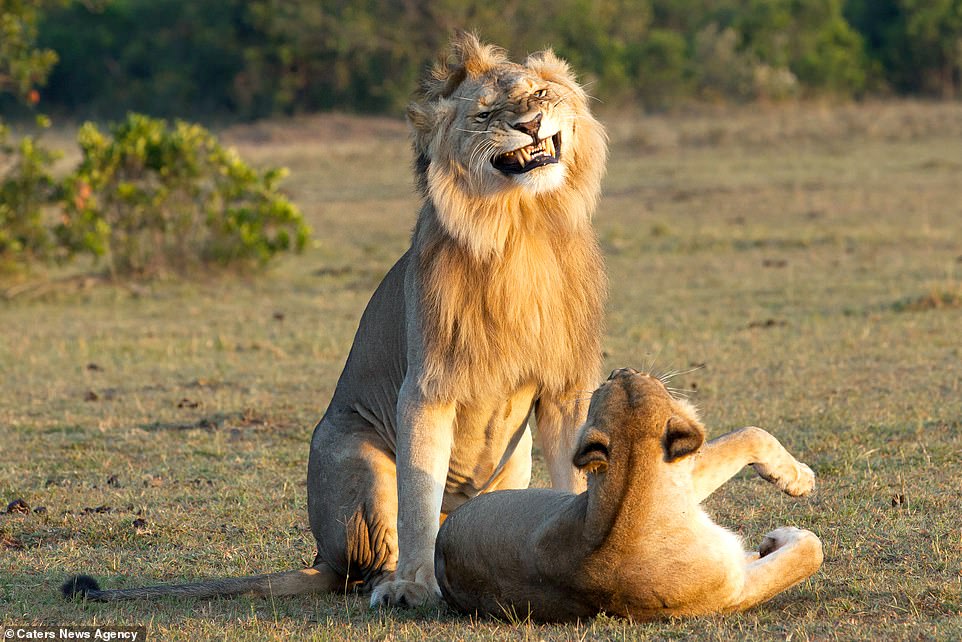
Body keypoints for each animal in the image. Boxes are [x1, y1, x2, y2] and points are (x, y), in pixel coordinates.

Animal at [65, 35, 608, 604]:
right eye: (485, 114)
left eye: (539, 93)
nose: (531, 123)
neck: (521, 226)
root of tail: (321, 556)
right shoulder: (426, 387)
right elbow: (418, 499)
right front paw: (413, 587)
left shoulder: (567, 389)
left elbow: (576, 477)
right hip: (356, 454)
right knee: (372, 559)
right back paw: (392, 583)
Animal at [434, 370, 816, 620]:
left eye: (610, 383)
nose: (621, 370)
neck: (630, 492)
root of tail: (440, 546)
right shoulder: (730, 591)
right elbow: (809, 552)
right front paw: (795, 498)